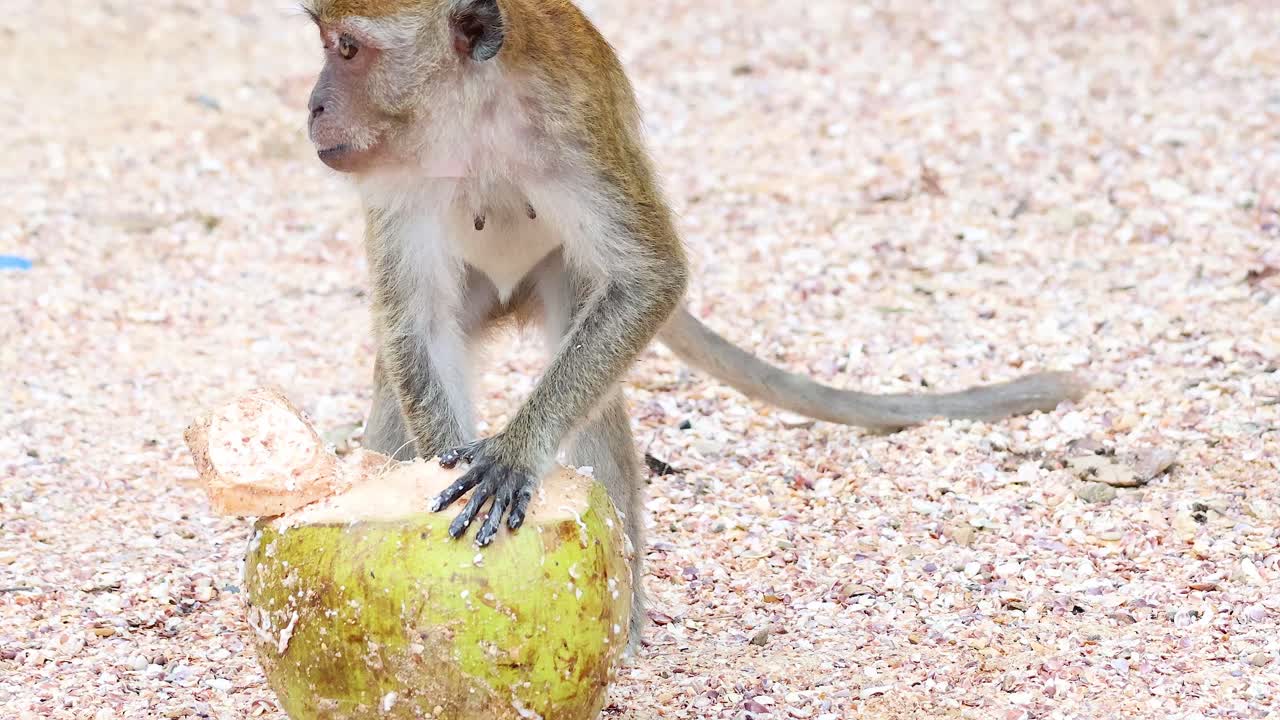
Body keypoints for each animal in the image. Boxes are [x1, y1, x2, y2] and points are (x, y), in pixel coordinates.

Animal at [301, 0, 1087, 646]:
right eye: (328, 43)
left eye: (348, 49)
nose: (312, 106)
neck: (466, 119)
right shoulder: (392, 178)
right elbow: (417, 329)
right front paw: (429, 478)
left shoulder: (572, 129)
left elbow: (649, 279)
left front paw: (514, 455)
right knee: (401, 371)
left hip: (561, 275)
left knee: (594, 382)